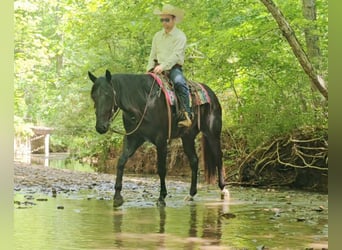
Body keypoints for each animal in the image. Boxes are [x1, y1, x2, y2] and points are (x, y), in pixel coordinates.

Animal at [88, 69, 228, 206]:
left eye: (108, 94)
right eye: (93, 96)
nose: (101, 127)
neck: (143, 102)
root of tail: (211, 94)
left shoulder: (161, 141)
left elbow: (161, 169)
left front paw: (162, 197)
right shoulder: (133, 139)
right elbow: (121, 162)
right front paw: (117, 196)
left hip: (212, 134)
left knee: (218, 158)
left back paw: (223, 189)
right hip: (187, 137)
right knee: (194, 161)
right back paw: (191, 194)